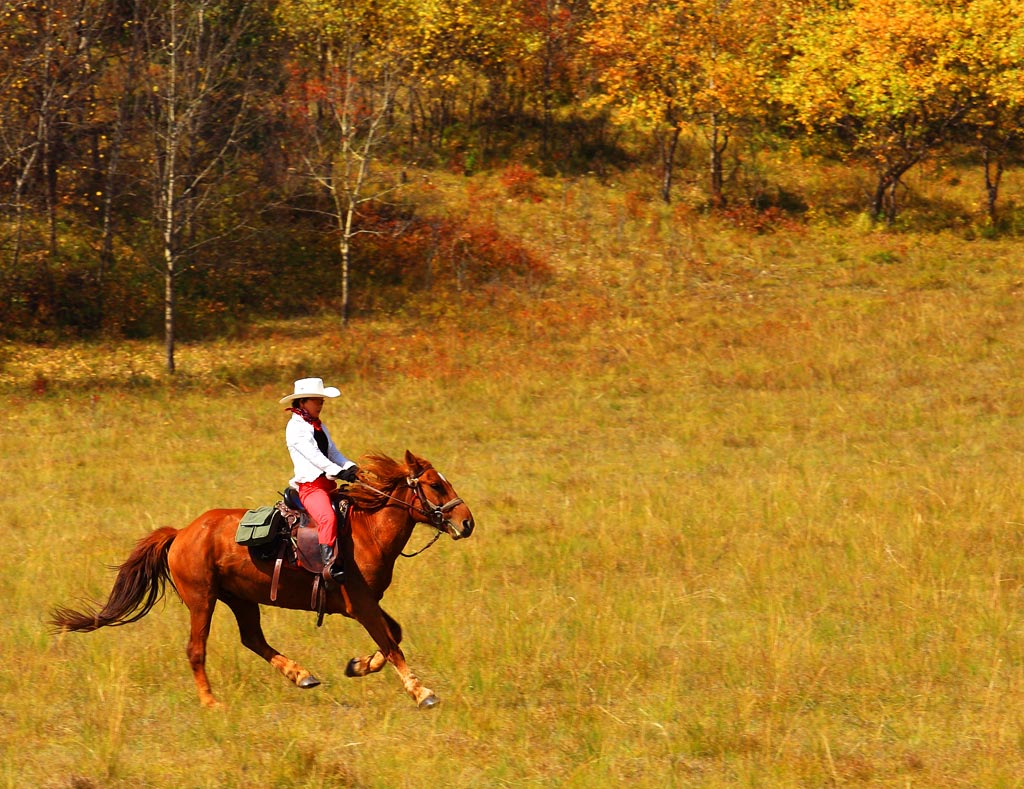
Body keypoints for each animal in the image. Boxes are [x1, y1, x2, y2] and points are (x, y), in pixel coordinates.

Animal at [49, 450, 473, 708]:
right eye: (436, 485)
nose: (467, 522)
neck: (367, 530)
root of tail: (181, 533)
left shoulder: (370, 603)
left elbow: (393, 636)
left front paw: (358, 665)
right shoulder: (360, 604)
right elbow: (392, 645)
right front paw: (422, 692)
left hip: (241, 598)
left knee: (252, 638)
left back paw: (301, 675)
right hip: (202, 600)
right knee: (196, 649)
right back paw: (211, 702)